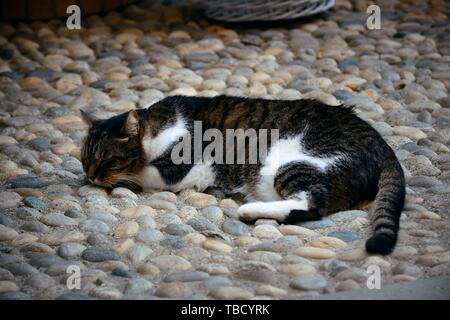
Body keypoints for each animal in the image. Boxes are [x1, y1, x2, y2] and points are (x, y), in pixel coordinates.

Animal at [81, 95, 408, 255]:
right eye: (84, 158)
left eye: (106, 159)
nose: (91, 178)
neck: (159, 123)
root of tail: (382, 145)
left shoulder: (176, 170)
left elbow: (142, 174)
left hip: (291, 162)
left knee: (313, 201)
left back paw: (249, 210)